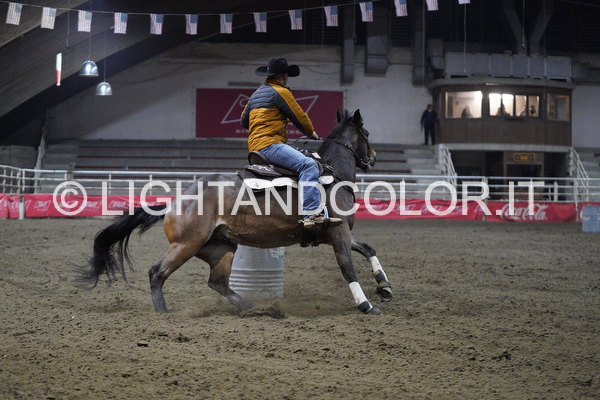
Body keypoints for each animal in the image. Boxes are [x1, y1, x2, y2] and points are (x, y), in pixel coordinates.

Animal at [85, 109, 392, 315]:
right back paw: (163, 311)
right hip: (186, 244)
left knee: (218, 282)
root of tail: (176, 202)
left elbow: (368, 248)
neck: (332, 174)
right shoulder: (338, 233)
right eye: (366, 134)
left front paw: (384, 287)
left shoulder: (335, 233)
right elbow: (347, 267)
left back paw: (252, 306)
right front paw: (367, 305)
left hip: (221, 247)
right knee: (156, 272)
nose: (374, 158)